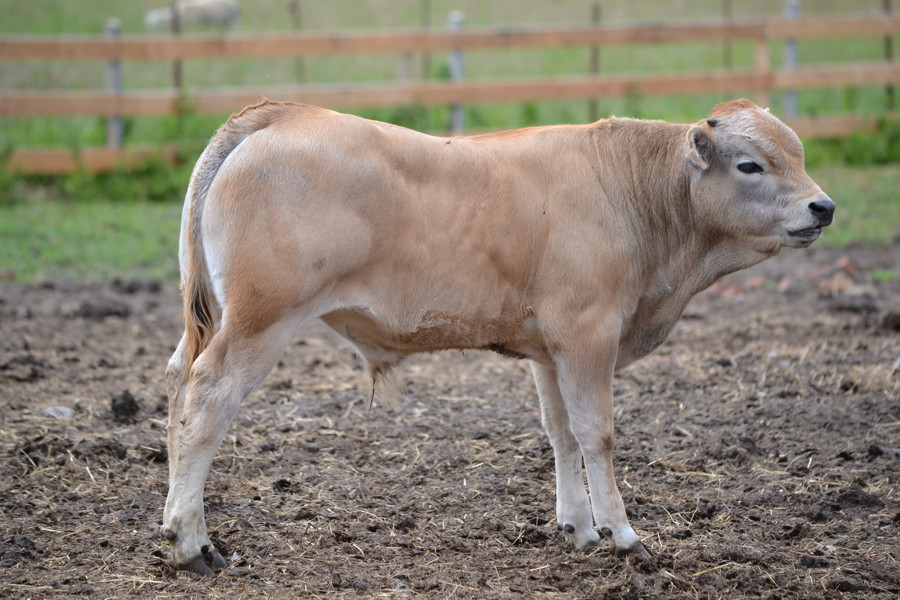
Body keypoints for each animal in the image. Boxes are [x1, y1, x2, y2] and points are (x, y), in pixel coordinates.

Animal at [162, 97, 828, 572]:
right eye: (751, 165)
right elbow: (597, 433)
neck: (631, 193)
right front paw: (622, 533)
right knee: (207, 401)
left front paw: (578, 526)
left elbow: (561, 433)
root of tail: (282, 114)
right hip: (261, 323)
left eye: (798, 155)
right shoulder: (588, 334)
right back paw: (194, 542)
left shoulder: (549, 349)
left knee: (176, 392)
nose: (824, 207)